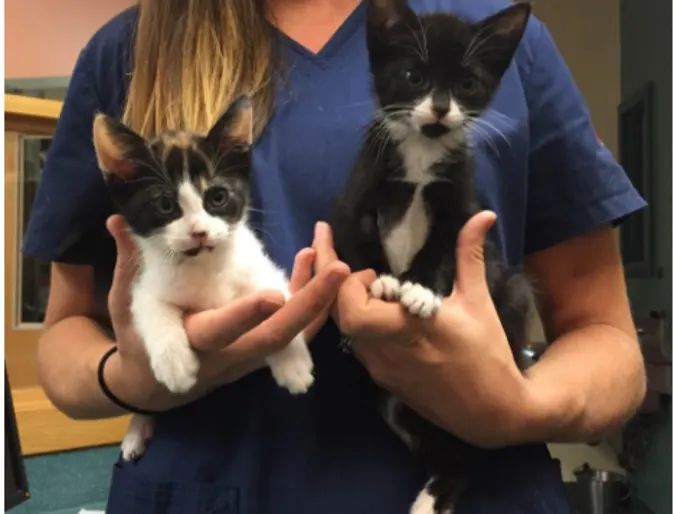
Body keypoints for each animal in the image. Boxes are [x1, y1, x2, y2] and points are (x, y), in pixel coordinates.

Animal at [92, 96, 316, 460]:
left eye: (217, 197)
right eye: (165, 205)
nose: (199, 232)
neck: (205, 264)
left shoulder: (264, 274)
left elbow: (282, 308)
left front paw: (293, 364)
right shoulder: (144, 285)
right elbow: (153, 309)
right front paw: (175, 363)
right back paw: (137, 429)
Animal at [330, 1, 532, 512]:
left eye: (467, 83)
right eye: (414, 76)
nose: (440, 109)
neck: (422, 152)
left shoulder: (461, 203)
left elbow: (442, 246)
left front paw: (419, 290)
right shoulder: (357, 195)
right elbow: (359, 238)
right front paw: (382, 280)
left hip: (511, 302)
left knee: (466, 458)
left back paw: (432, 499)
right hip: (396, 408)